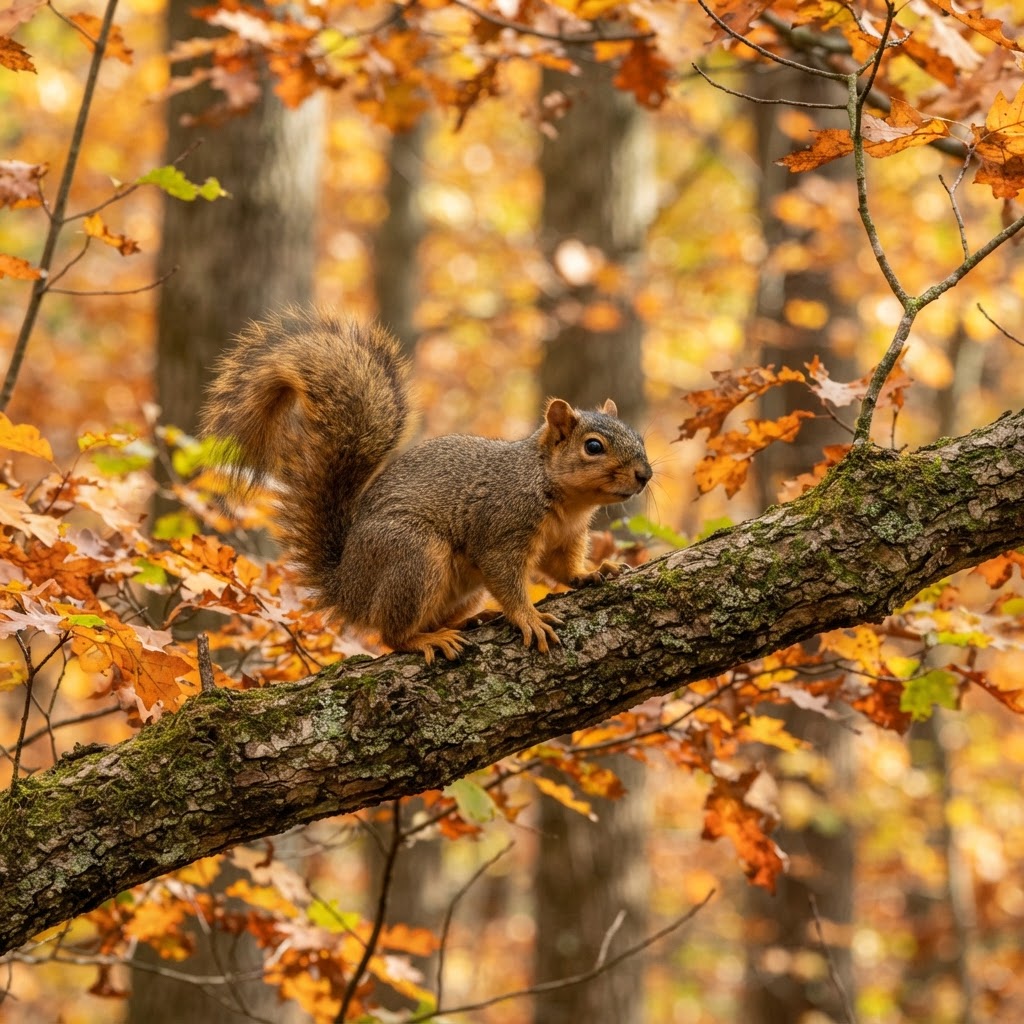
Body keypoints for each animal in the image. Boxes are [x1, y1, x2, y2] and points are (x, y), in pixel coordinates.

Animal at [201, 307, 653, 663]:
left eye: (640, 437)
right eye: (593, 447)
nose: (645, 475)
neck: (562, 498)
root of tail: (347, 587)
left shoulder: (566, 537)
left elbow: (562, 568)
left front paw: (593, 572)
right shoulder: (501, 528)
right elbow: (507, 579)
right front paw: (528, 617)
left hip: (457, 584)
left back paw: (472, 620)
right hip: (415, 556)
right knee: (391, 635)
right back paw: (425, 639)